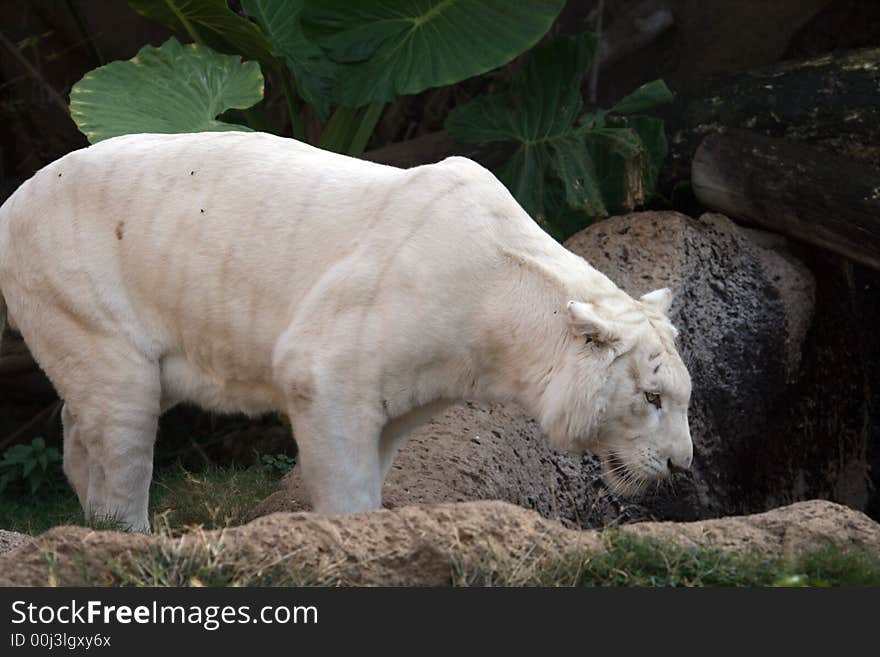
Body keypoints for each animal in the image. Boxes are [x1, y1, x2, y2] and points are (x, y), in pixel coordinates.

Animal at [0, 131, 692, 532]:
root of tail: (13, 197)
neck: (501, 301)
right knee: (120, 425)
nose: (681, 464)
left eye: (681, 398)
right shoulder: (329, 367)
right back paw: (124, 534)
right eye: (651, 397)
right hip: (81, 296)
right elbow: (342, 469)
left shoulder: (407, 389)